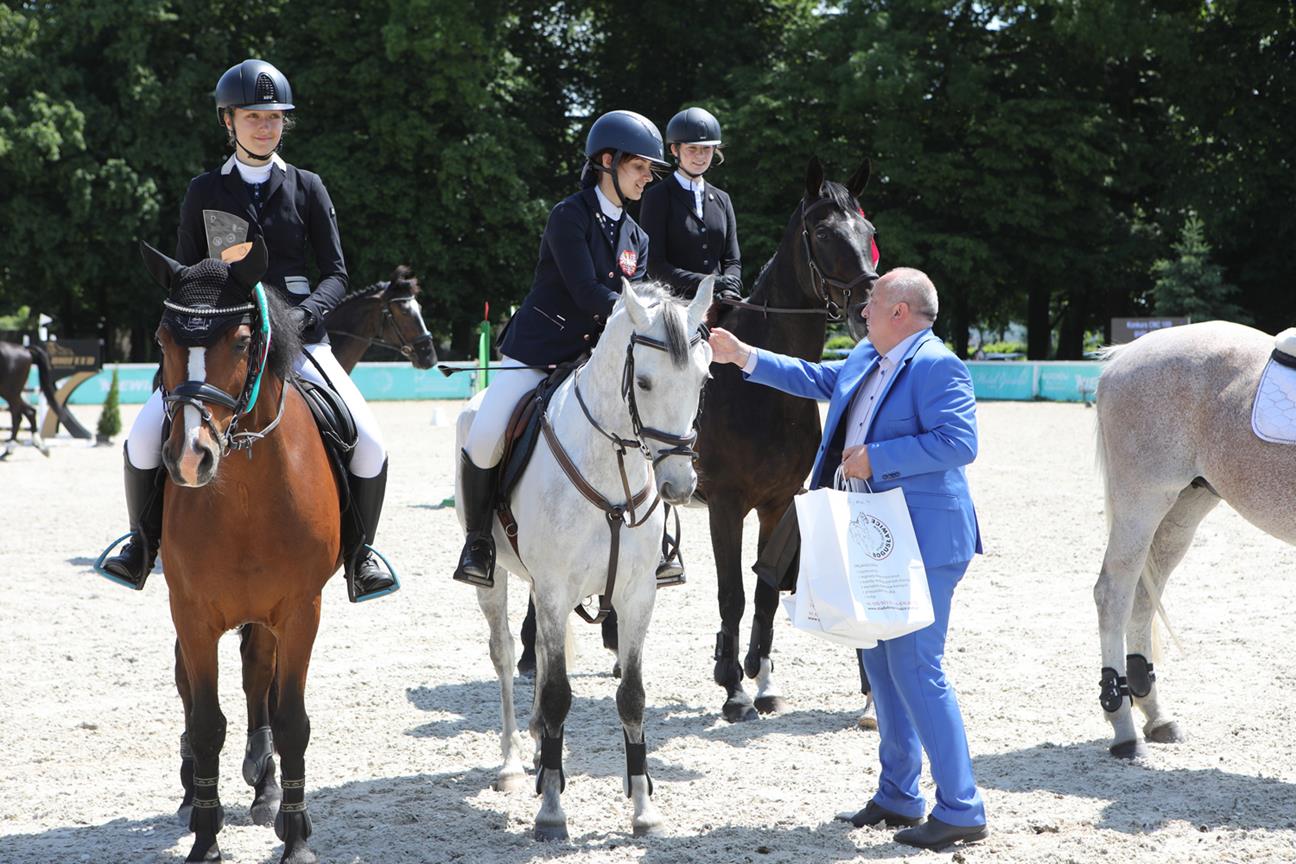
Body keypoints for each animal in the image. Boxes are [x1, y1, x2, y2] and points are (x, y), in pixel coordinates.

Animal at [142, 237, 340, 863]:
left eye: (242, 340)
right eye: (162, 339)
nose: (189, 458)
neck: (247, 492)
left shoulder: (300, 610)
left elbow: (291, 716)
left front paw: (295, 837)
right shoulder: (192, 612)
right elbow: (206, 721)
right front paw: (206, 837)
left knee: (260, 679)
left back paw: (267, 790)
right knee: (191, 688)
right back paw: (193, 793)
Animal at [457, 278, 714, 840]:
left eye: (703, 379)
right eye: (644, 382)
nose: (679, 486)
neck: (610, 463)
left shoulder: (636, 597)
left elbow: (631, 696)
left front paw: (644, 810)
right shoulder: (556, 590)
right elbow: (557, 693)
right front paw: (552, 813)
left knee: (541, 654)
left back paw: (538, 750)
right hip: (498, 577)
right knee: (506, 654)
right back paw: (513, 764)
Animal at [1093, 320, 1296, 758]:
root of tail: (1125, 355)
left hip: (1184, 509)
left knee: (1142, 597)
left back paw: (1156, 715)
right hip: (1142, 502)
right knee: (1113, 595)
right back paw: (1124, 729)